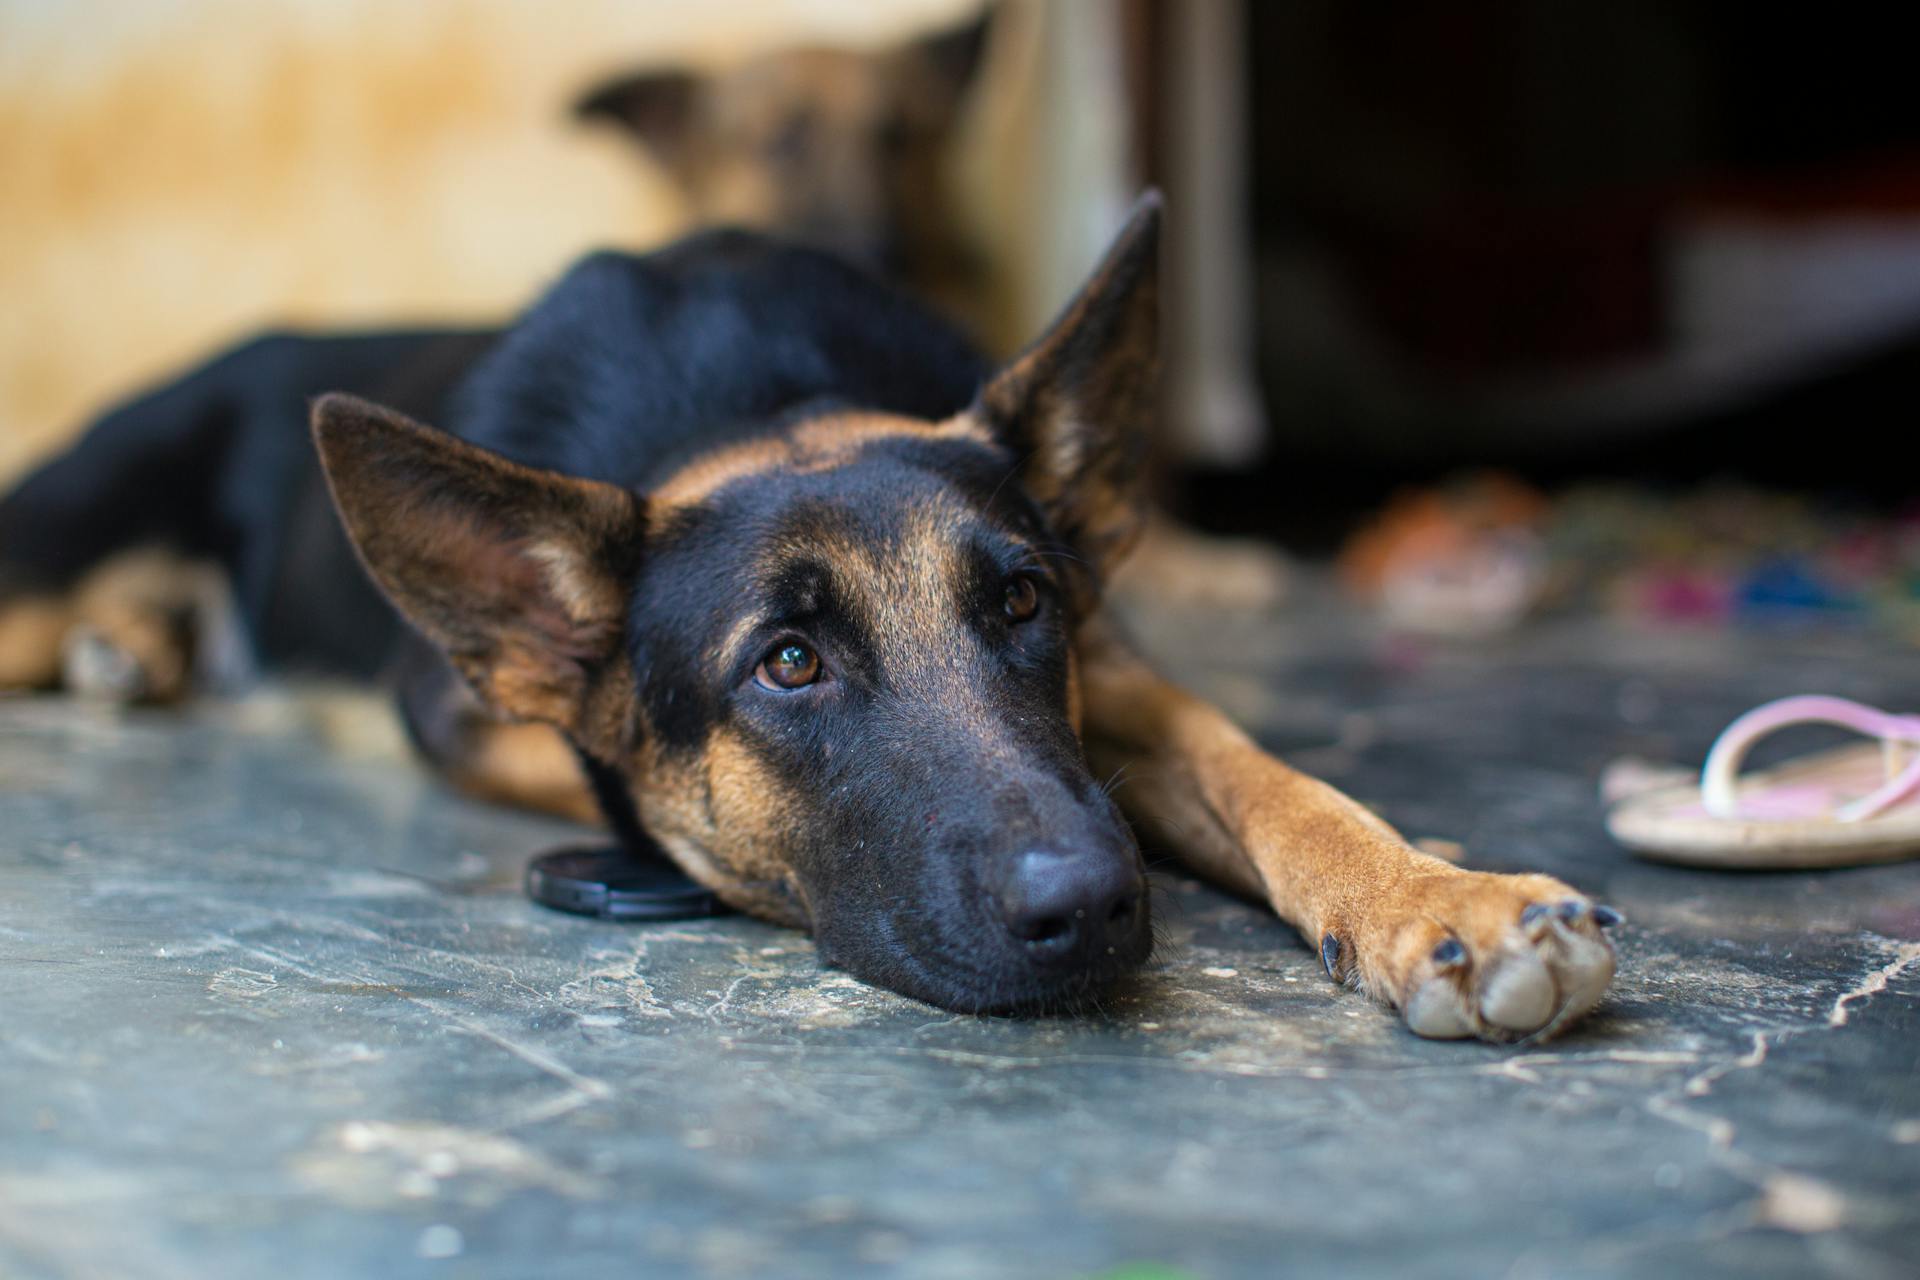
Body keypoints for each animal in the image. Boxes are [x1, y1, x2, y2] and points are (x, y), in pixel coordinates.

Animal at [0, 197, 1620, 1043]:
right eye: (789, 664)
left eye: (1020, 602)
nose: (1094, 904)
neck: (757, 397)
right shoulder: (454, 709)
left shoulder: (1111, 671)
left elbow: (1265, 776)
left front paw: (1436, 895)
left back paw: (137, 647)